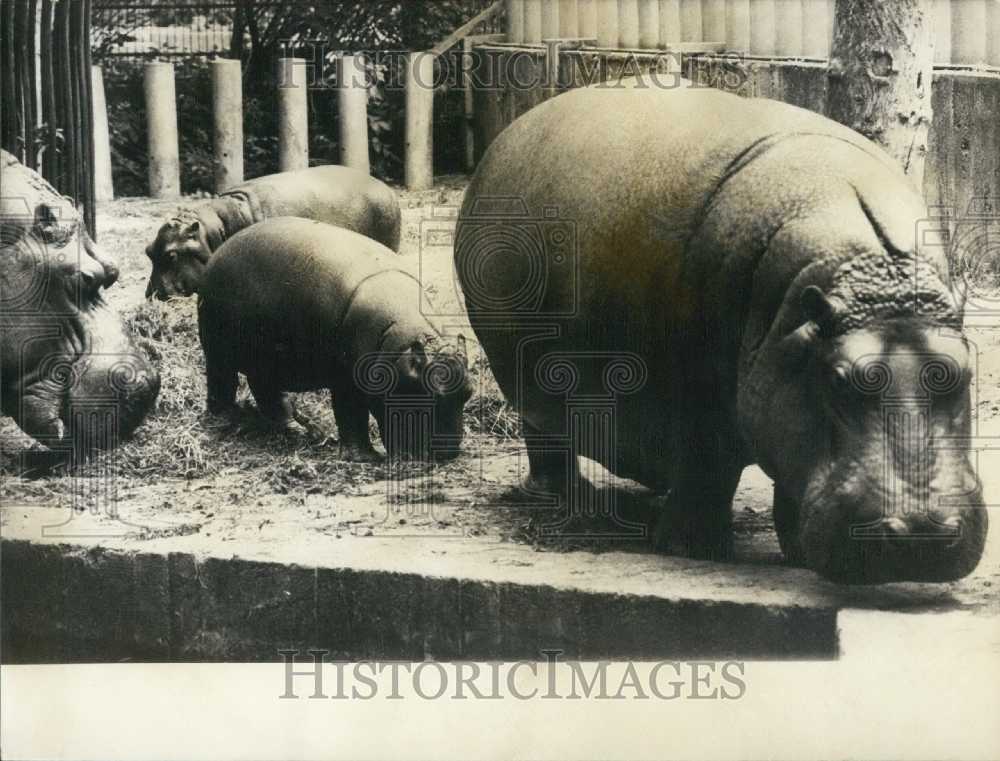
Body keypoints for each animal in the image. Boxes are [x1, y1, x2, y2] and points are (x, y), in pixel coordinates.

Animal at [197, 217, 472, 461]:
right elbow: (351, 414)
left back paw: (300, 429)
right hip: (217, 348)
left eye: (468, 393)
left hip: (264, 357)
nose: (449, 454)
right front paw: (364, 458)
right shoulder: (346, 378)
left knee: (265, 388)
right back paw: (227, 419)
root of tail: (219, 252)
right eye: (427, 395)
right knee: (221, 381)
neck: (398, 345)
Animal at [455, 81, 988, 584]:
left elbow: (789, 472)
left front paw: (796, 554)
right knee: (546, 437)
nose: (918, 531)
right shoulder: (701, 393)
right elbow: (709, 463)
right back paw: (567, 499)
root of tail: (516, 127)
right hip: (525, 377)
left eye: (961, 373)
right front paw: (691, 549)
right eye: (838, 379)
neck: (873, 269)